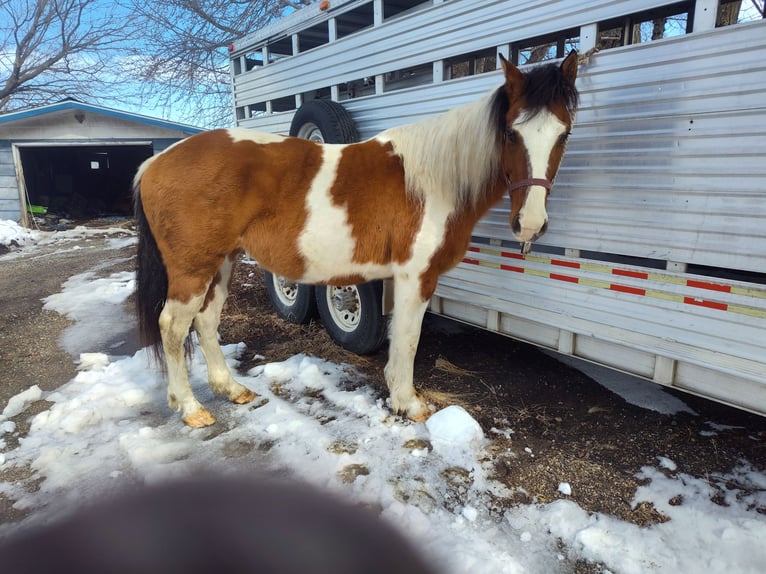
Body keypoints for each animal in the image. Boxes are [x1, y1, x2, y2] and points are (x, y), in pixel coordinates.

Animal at [135, 53, 580, 428]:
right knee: (173, 326)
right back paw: (191, 408)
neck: (431, 181)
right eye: (511, 134)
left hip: (222, 262)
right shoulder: (415, 276)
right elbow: (408, 338)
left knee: (206, 320)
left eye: (564, 134)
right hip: (193, 269)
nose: (530, 223)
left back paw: (231, 389)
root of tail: (155, 161)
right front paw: (408, 403)